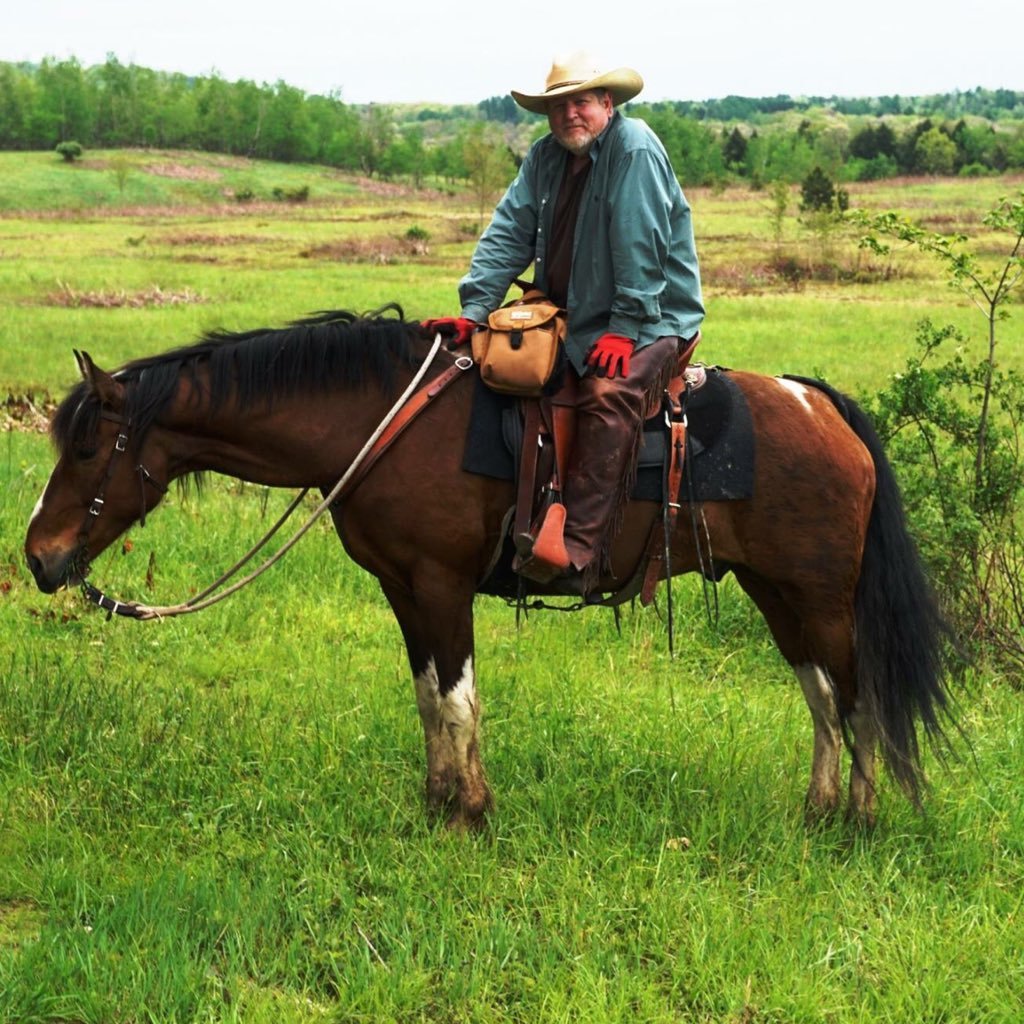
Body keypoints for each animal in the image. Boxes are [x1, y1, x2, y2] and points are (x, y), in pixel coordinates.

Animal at [24, 303, 954, 823]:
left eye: (86, 446)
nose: (39, 556)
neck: (380, 422)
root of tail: (820, 402)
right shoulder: (404, 589)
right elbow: (430, 697)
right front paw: (439, 800)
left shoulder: (441, 584)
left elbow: (460, 698)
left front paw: (470, 811)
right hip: (778, 594)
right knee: (824, 698)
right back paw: (819, 810)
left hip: (821, 597)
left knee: (858, 697)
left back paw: (858, 820)